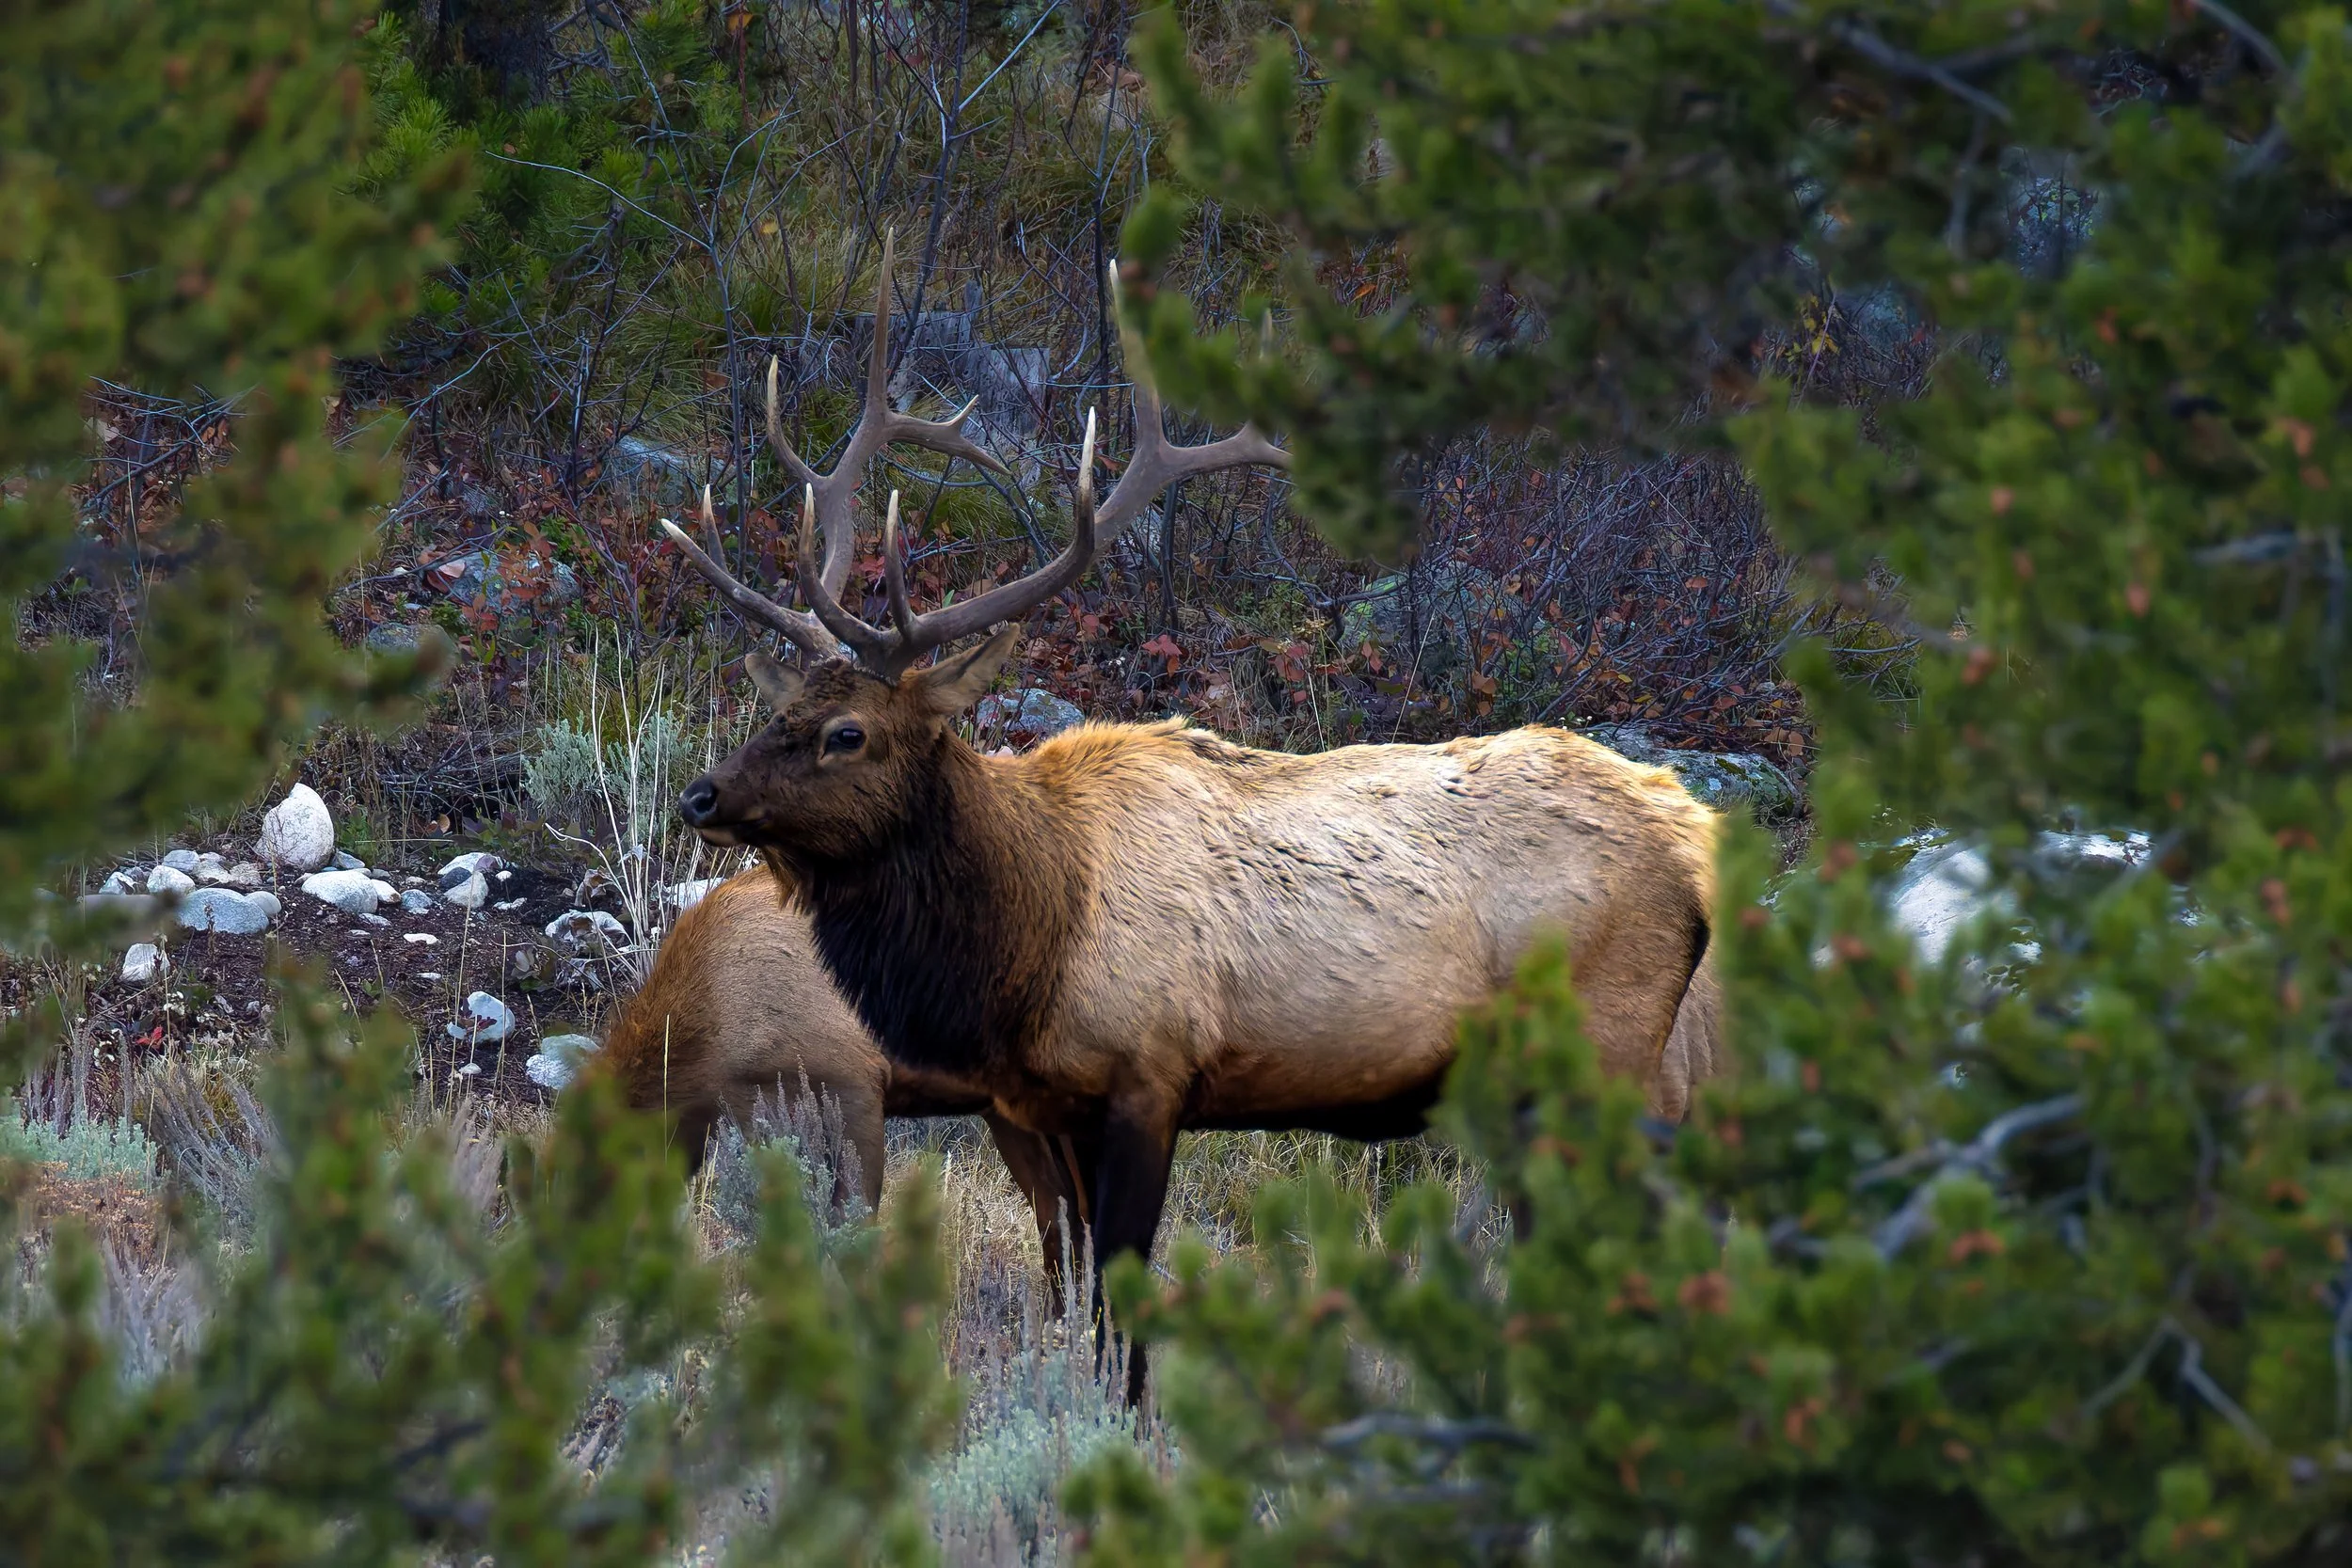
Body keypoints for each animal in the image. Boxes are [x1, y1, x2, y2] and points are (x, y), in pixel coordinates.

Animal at [661, 238, 1725, 1400]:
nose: (701, 794)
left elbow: (1122, 1306)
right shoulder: (1040, 1106)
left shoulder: (1149, 1073)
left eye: (847, 732)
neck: (1025, 946)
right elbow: (1074, 1287)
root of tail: (1698, 836)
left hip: (1611, 1048)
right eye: (778, 710)